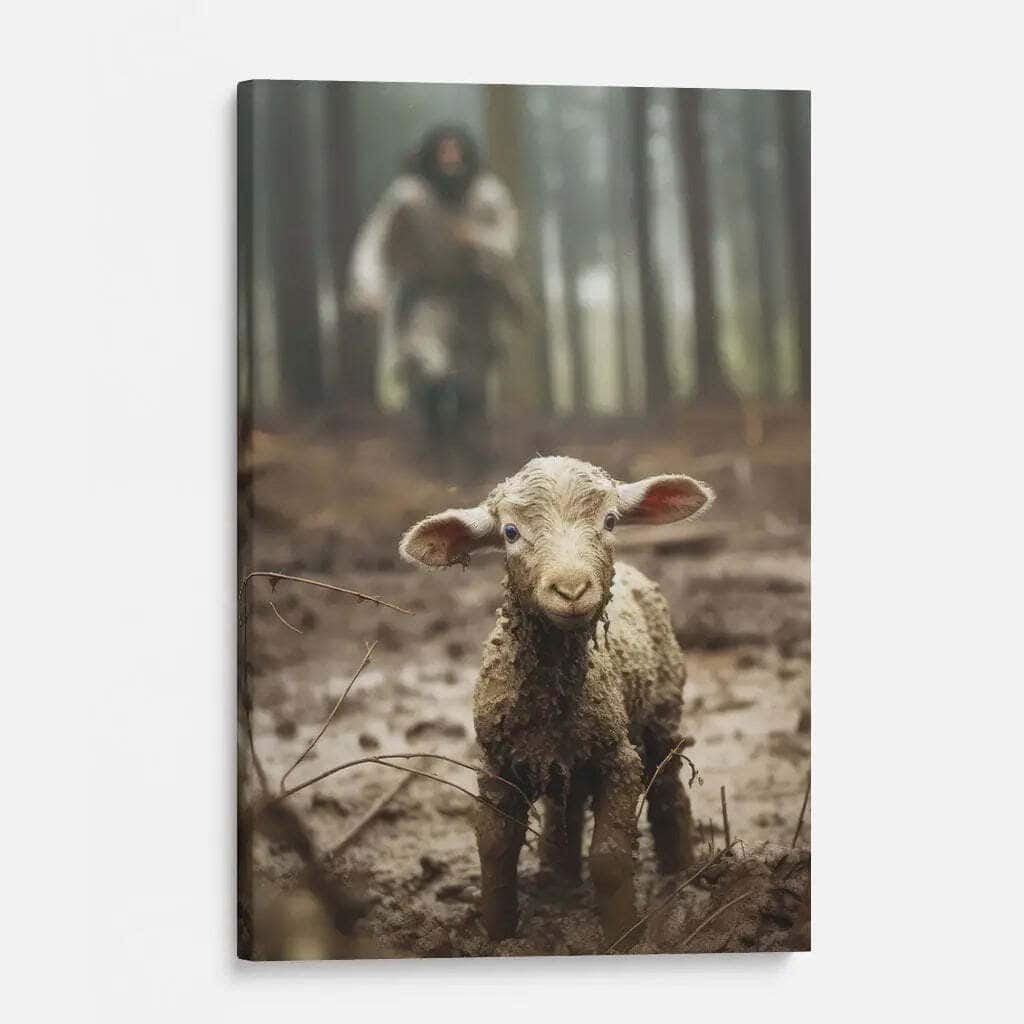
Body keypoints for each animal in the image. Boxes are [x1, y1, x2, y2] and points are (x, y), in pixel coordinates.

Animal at [399, 455, 713, 946]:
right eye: (510, 532)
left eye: (609, 521)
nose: (571, 590)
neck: (551, 696)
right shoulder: (497, 763)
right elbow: (494, 848)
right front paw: (498, 934)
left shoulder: (618, 757)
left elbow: (609, 857)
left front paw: (622, 937)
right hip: (565, 756)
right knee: (564, 805)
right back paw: (558, 877)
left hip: (661, 711)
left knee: (667, 787)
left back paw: (680, 873)